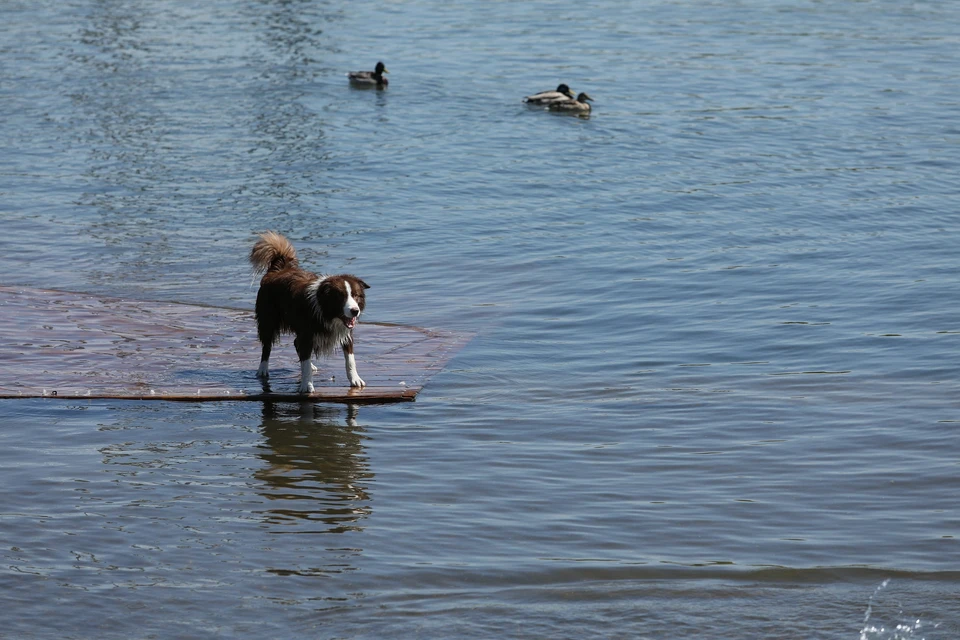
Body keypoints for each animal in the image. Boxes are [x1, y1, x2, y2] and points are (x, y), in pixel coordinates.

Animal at [249, 232, 370, 392]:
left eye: (356, 295)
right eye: (341, 297)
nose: (355, 311)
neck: (327, 312)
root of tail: (278, 269)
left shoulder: (346, 333)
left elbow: (350, 359)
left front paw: (355, 379)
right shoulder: (307, 334)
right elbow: (305, 362)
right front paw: (307, 385)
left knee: (296, 343)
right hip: (268, 318)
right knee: (267, 346)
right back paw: (262, 369)